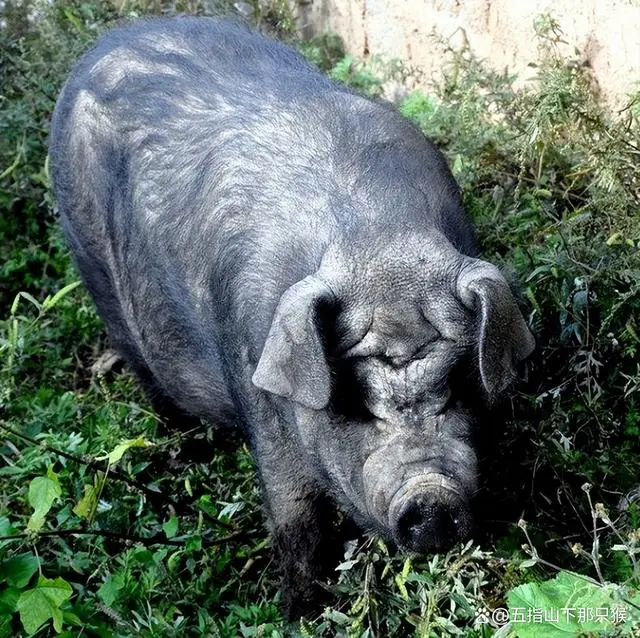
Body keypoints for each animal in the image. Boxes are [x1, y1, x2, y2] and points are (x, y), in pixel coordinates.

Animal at [48, 17, 536, 620]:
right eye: (352, 403)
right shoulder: (256, 373)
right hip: (94, 271)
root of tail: (106, 42)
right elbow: (296, 510)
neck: (377, 242)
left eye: (461, 383)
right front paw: (298, 612)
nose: (431, 498)